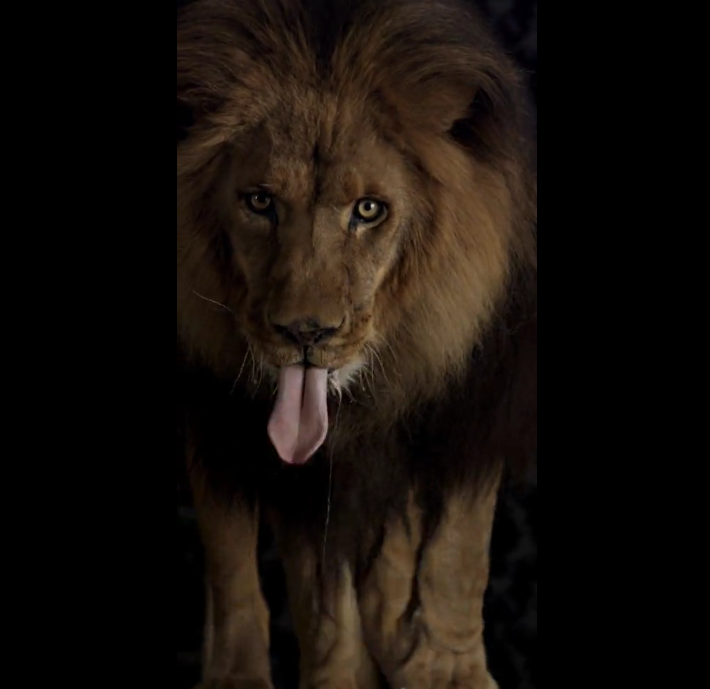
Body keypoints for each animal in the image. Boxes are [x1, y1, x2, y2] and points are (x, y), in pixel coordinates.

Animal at [177, 1, 537, 687]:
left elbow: (459, 546)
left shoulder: (474, 401)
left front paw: (446, 666)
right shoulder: (237, 430)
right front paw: (327, 674)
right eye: (259, 201)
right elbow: (295, 583)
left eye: (369, 210)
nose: (305, 333)